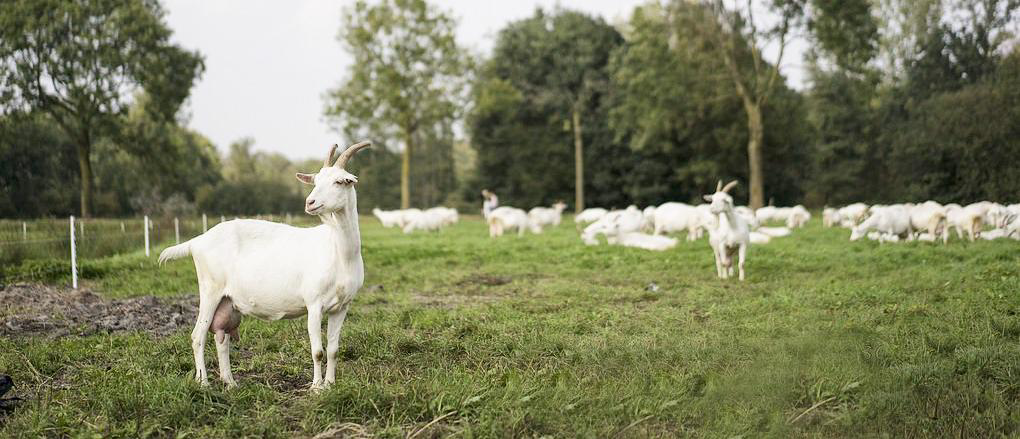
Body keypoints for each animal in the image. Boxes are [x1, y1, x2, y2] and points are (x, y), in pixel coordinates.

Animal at [156, 140, 371, 389]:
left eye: (338, 181)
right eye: (316, 181)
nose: (310, 202)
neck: (338, 251)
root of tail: (197, 241)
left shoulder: (342, 306)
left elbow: (334, 350)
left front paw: (330, 385)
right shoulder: (314, 304)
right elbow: (318, 351)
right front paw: (316, 387)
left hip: (227, 301)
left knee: (221, 338)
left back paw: (230, 383)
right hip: (210, 289)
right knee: (197, 335)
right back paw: (204, 383)